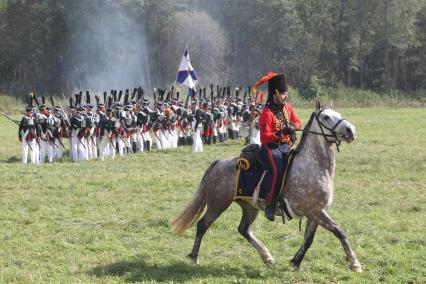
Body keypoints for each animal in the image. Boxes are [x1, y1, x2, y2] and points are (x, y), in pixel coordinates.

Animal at [171, 102, 362, 272]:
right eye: (326, 117)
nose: (351, 130)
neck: (312, 166)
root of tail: (219, 163)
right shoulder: (315, 211)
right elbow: (339, 231)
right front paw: (354, 263)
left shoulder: (315, 213)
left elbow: (309, 240)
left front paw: (295, 262)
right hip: (217, 204)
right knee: (202, 225)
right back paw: (194, 257)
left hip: (250, 207)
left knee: (244, 229)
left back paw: (267, 256)